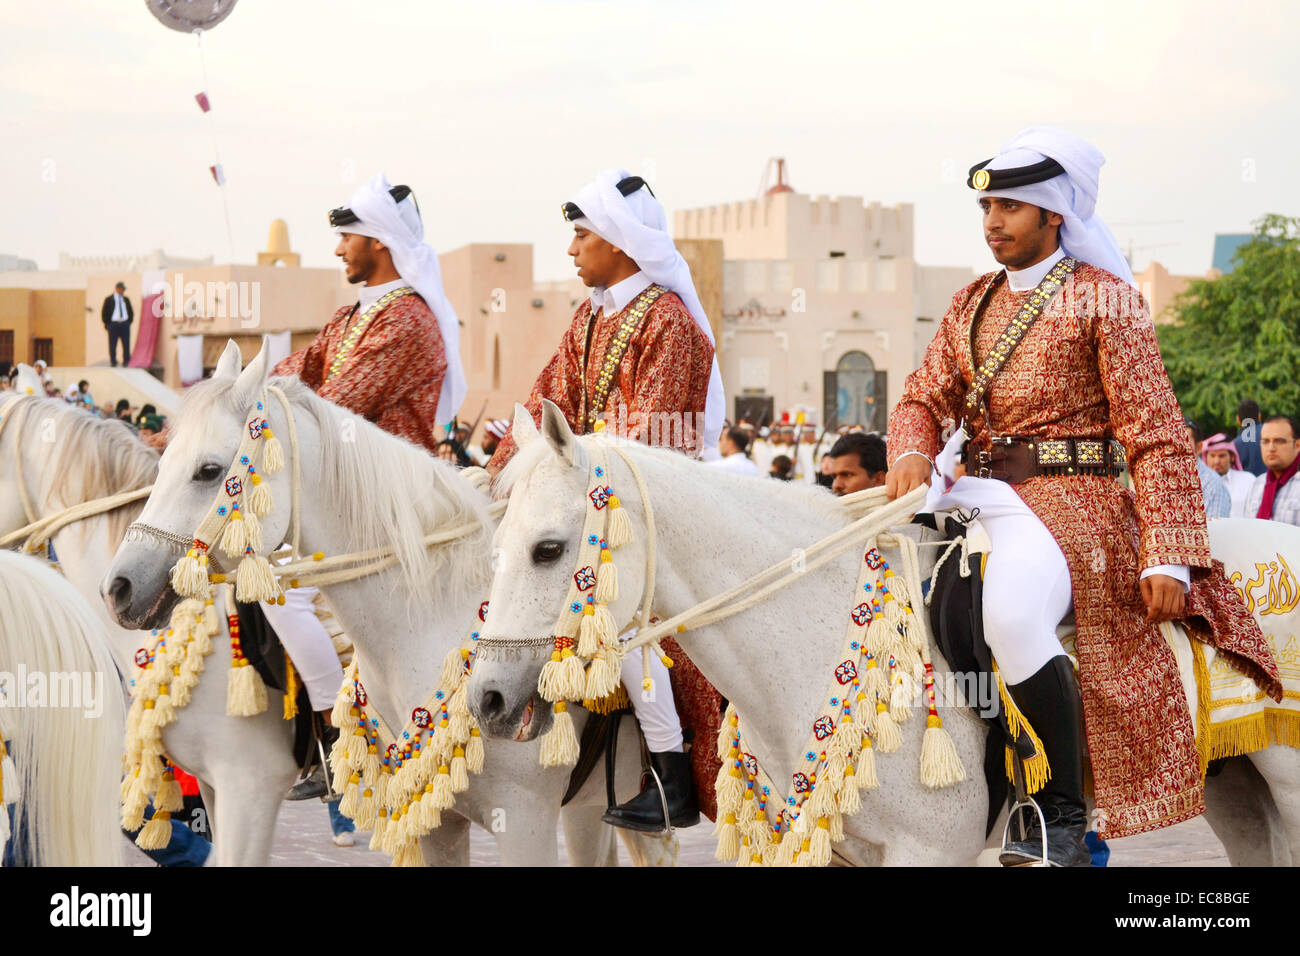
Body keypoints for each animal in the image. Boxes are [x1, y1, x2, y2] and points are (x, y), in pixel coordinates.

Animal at [105, 343, 676, 868]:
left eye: (208, 469)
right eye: (163, 460)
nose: (120, 587)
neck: (429, 623)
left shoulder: (523, 820)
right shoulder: (436, 820)